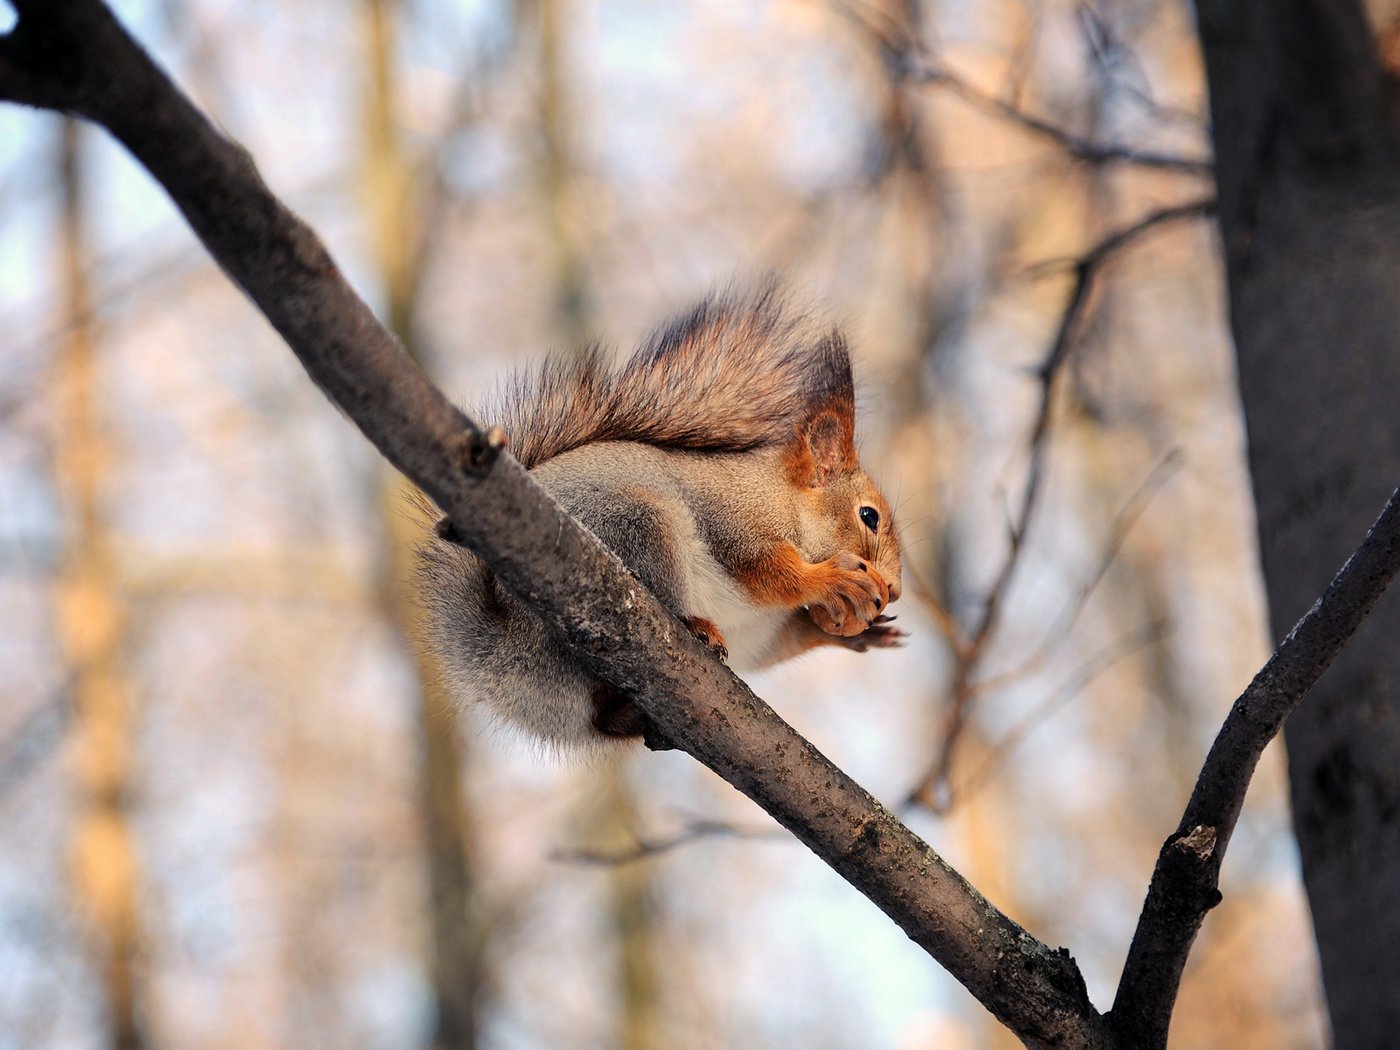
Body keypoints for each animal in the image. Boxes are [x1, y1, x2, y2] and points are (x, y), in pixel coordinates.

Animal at [414, 288, 907, 750]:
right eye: (868, 516)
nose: (896, 589)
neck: (786, 501)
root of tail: (498, 648)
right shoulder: (735, 519)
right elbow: (765, 570)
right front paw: (831, 579)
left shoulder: (760, 630)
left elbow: (777, 644)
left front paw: (860, 634)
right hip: (638, 526)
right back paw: (694, 625)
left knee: (604, 718)